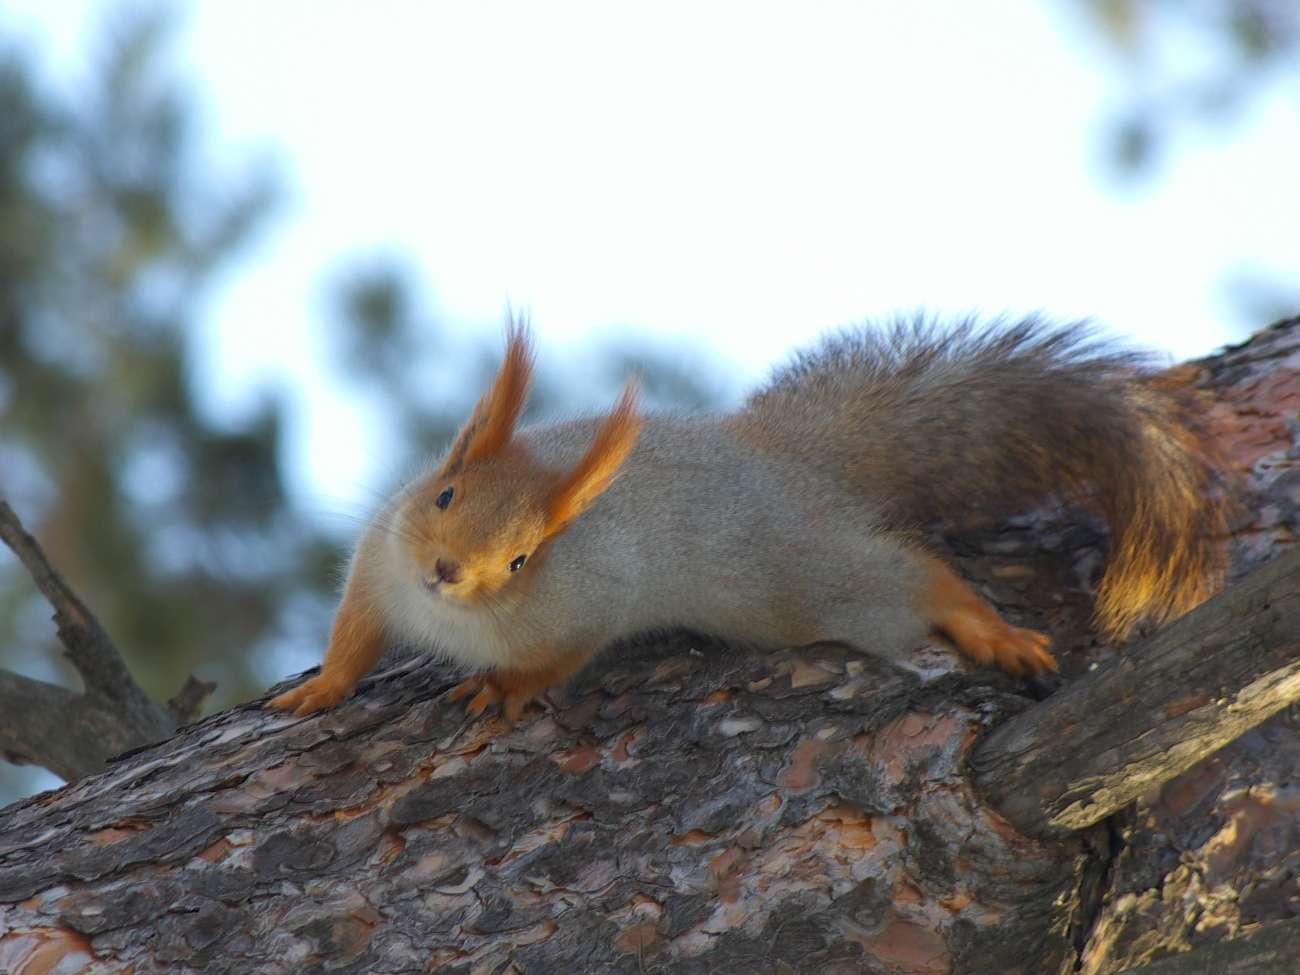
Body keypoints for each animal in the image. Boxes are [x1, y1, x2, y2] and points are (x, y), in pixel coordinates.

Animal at [269, 315, 1228, 720]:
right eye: (445, 494)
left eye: (522, 558)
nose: (446, 571)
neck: (448, 615)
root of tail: (791, 463)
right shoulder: (380, 564)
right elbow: (354, 636)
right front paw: (323, 687)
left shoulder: (588, 605)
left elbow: (557, 662)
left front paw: (503, 688)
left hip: (804, 583)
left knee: (915, 578)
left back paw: (990, 629)